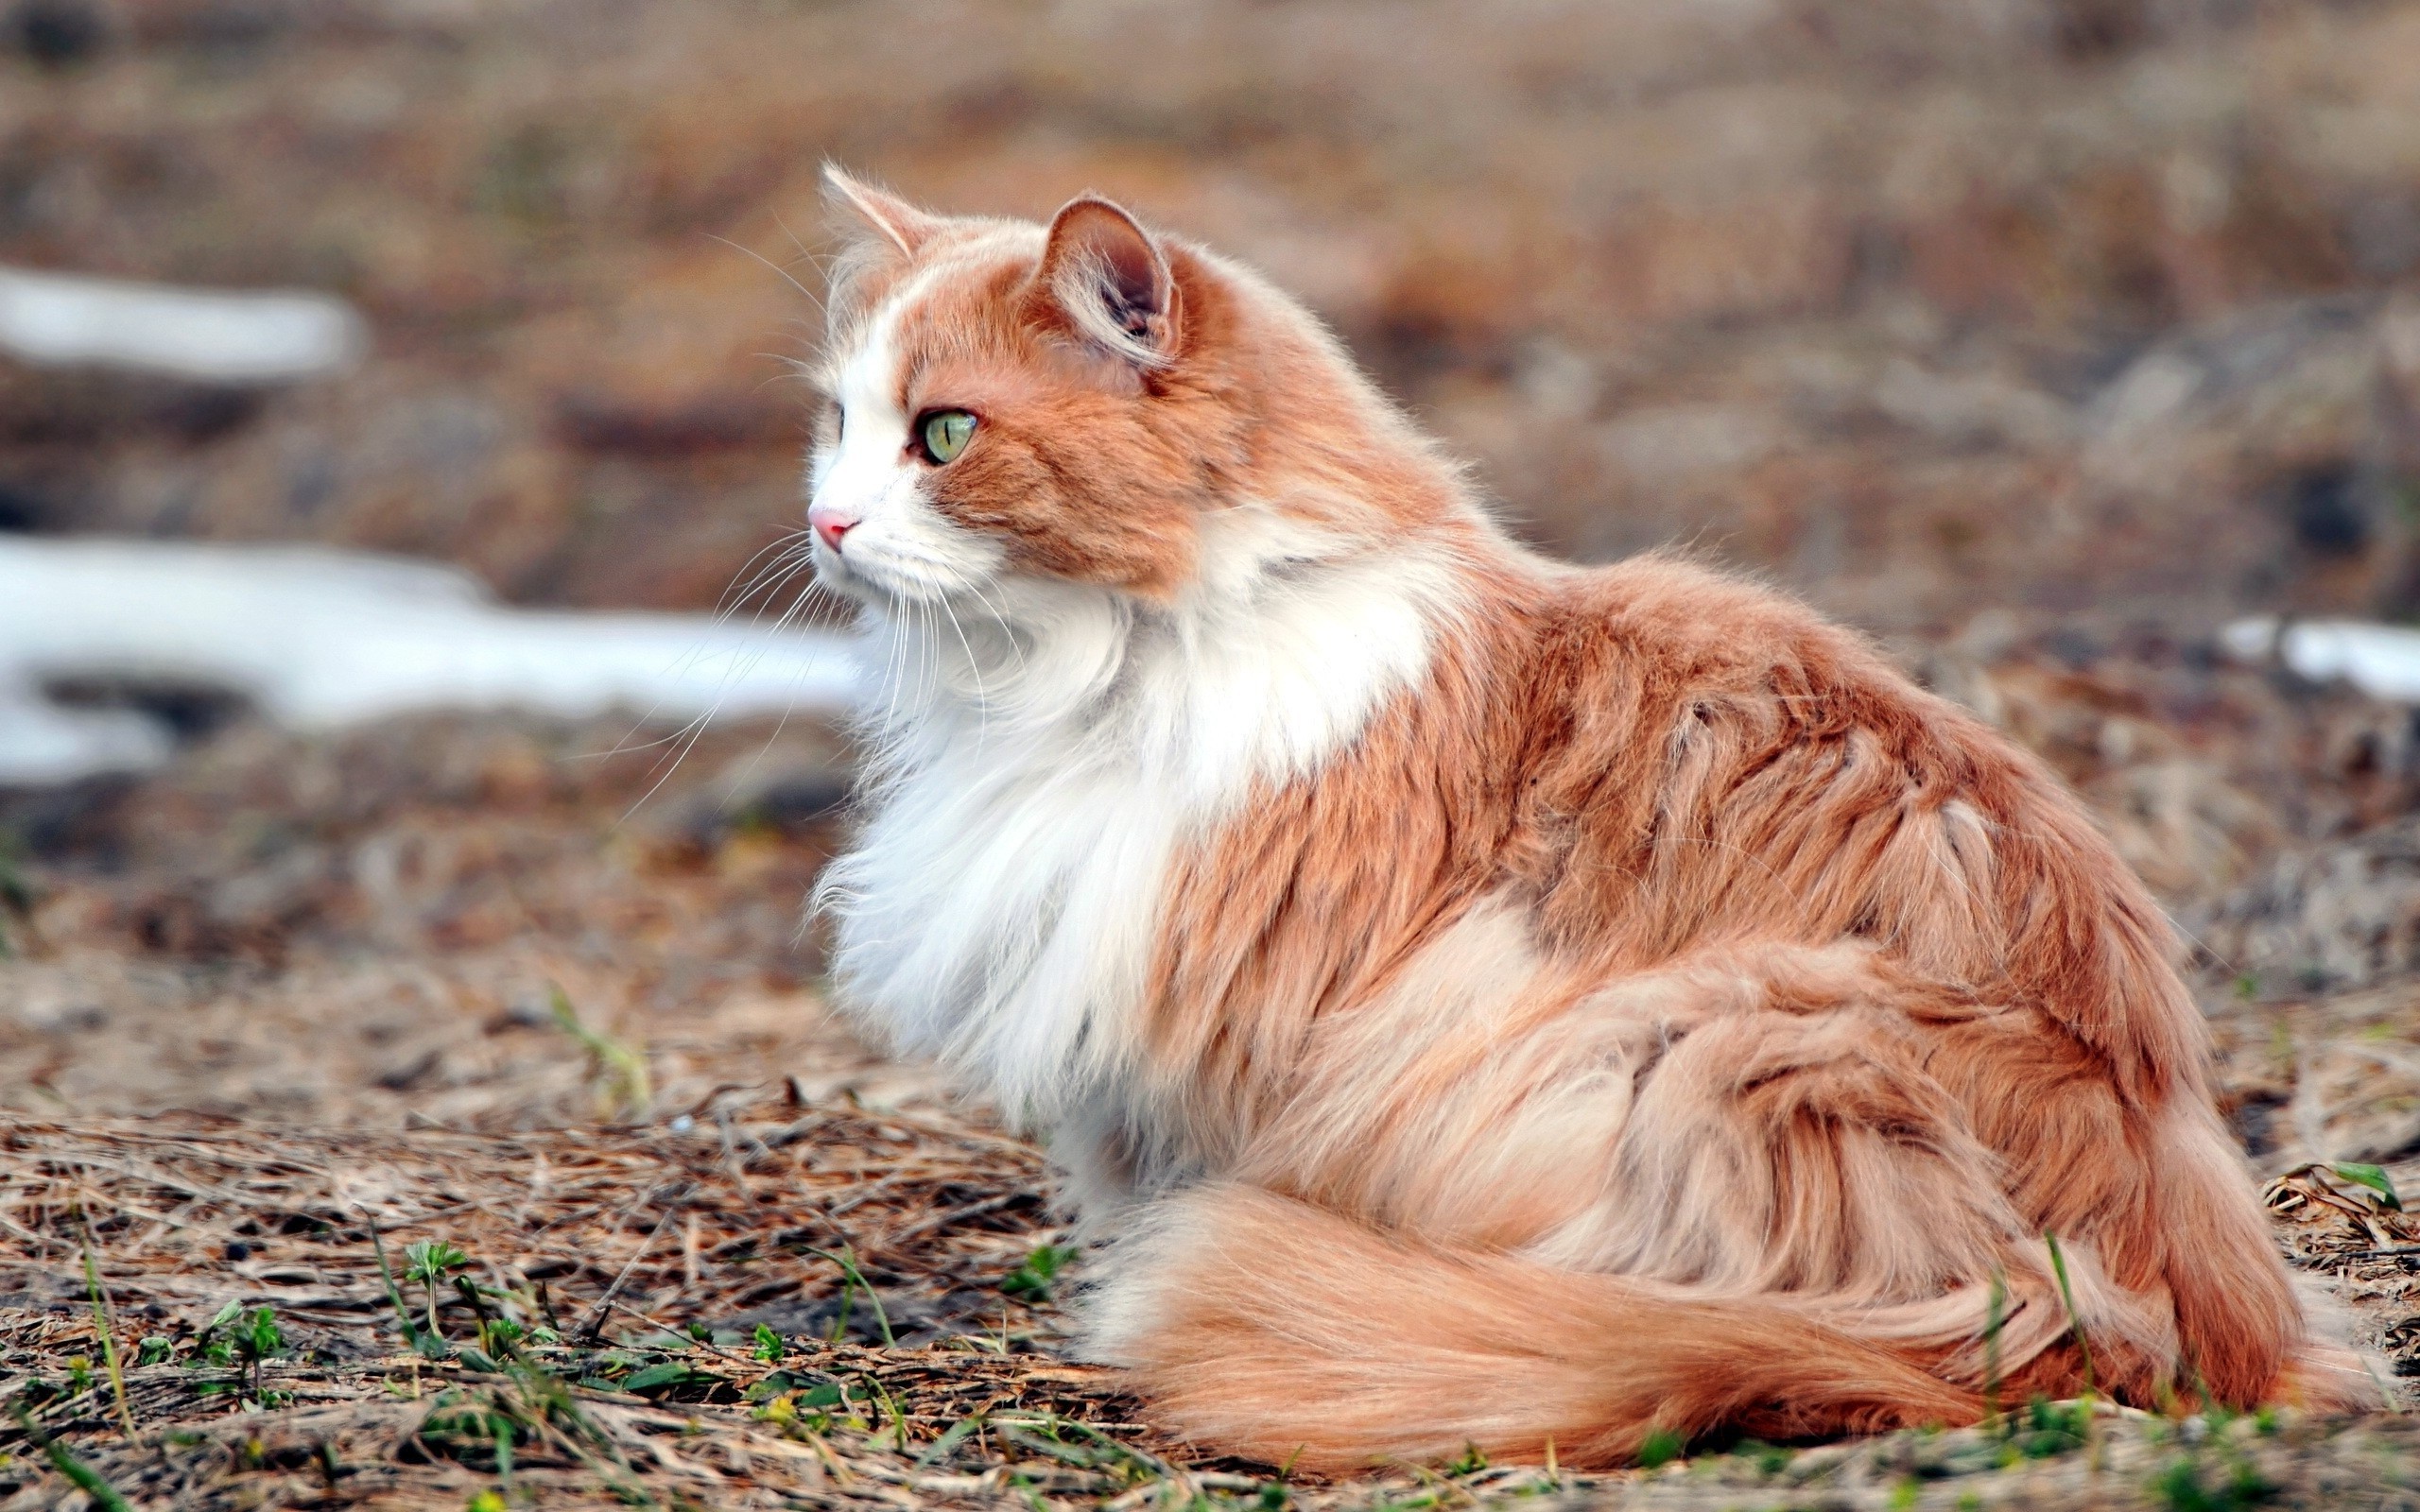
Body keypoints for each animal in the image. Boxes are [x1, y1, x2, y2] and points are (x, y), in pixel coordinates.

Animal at [793, 167, 2361, 1470]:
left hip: (1720, 1038)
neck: (1094, 674)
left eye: (944, 436)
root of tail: (2172, 1312)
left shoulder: (1231, 1011)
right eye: (839, 428)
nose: (826, 525)